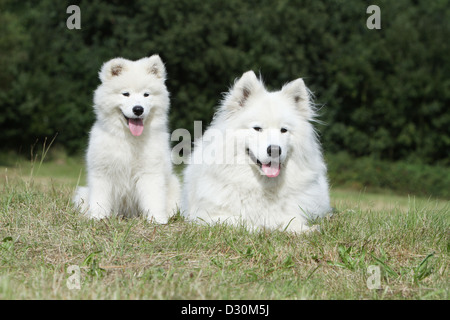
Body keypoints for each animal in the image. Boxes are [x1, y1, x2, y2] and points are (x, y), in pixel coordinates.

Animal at [74, 55, 179, 224]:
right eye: (125, 94)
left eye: (146, 94)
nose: (138, 109)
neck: (129, 139)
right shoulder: (102, 172)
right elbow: (100, 198)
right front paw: (97, 217)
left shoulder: (150, 172)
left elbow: (153, 197)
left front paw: (156, 220)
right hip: (82, 193)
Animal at [181, 70, 332, 232]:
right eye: (257, 128)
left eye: (283, 130)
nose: (275, 150)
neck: (262, 185)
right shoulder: (209, 216)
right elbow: (241, 222)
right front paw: (260, 229)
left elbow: (292, 220)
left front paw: (307, 230)